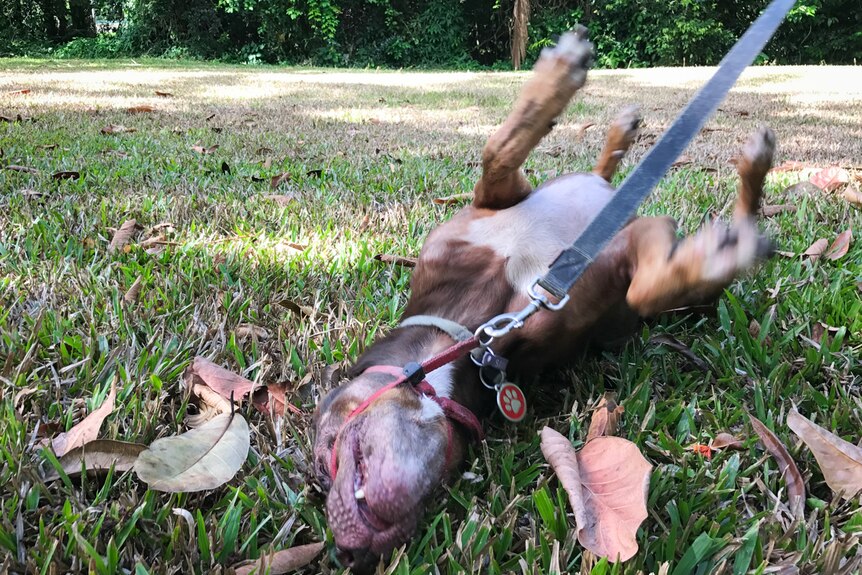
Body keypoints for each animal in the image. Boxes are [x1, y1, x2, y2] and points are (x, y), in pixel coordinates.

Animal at [312, 27, 776, 572]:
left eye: (321, 458)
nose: (348, 554)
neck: (469, 331)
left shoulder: (500, 199)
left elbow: (498, 150)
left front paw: (555, 78)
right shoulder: (612, 264)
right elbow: (643, 285)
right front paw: (715, 251)